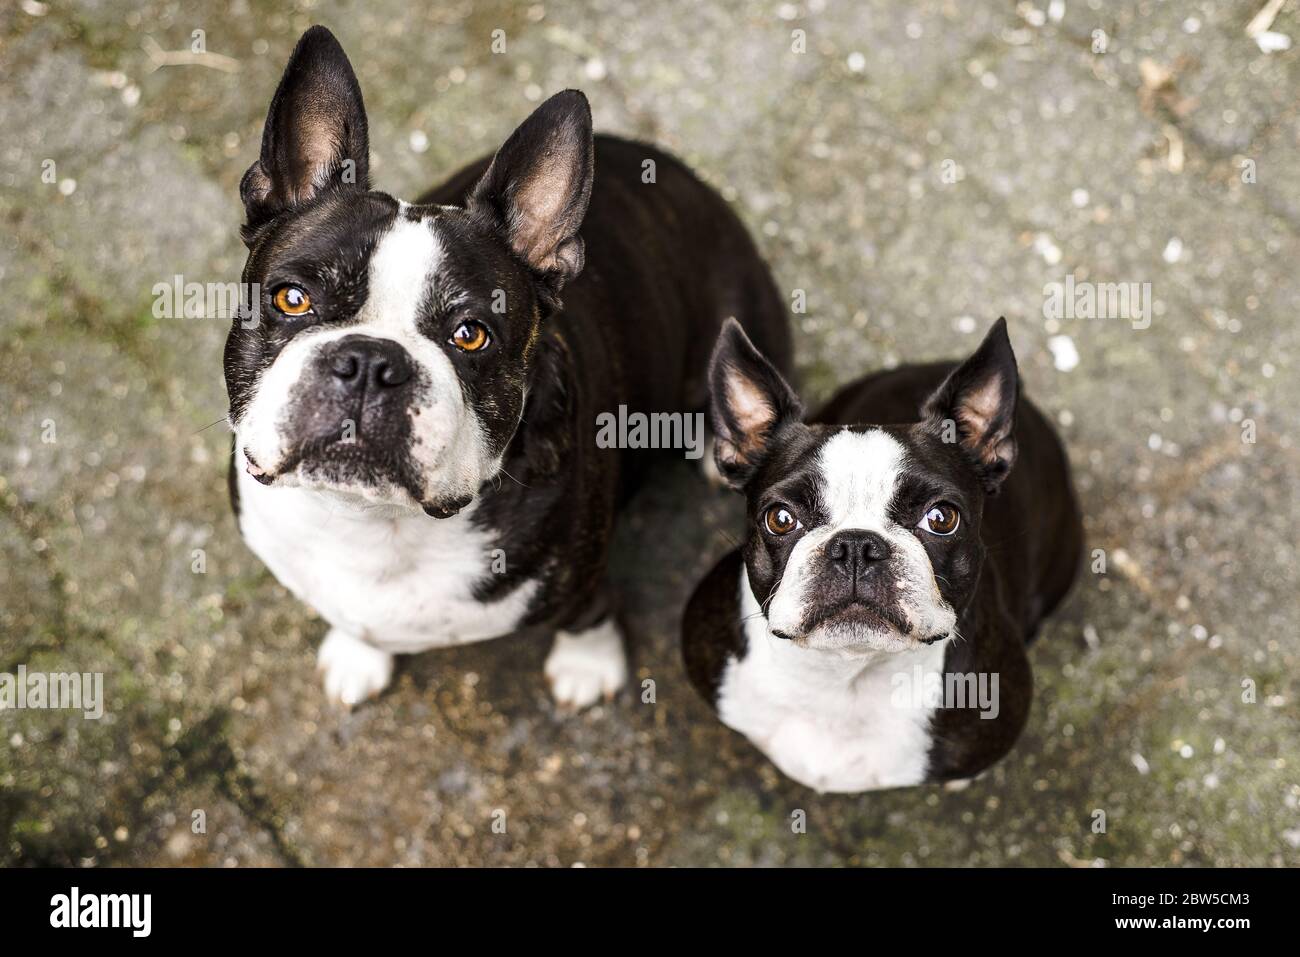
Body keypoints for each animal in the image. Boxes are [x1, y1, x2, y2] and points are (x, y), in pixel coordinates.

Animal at [227, 26, 785, 707]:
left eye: (471, 335)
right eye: (292, 299)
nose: (370, 362)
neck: (374, 521)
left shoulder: (581, 573)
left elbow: (588, 611)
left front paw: (586, 666)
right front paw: (357, 653)